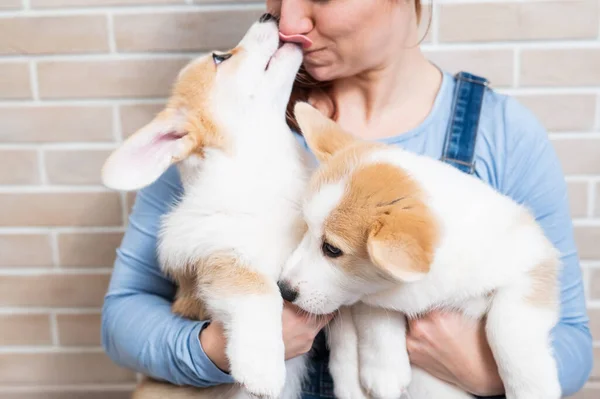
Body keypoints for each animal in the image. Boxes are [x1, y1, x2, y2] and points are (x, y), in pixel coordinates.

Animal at [100, 15, 310, 399]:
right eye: (219, 58)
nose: (269, 16)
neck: (260, 168)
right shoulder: (223, 257)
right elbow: (261, 294)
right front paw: (262, 369)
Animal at [278, 102, 564, 399]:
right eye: (305, 228)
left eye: (332, 249)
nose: (283, 290)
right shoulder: (367, 296)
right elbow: (376, 315)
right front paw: (384, 371)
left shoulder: (532, 261)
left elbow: (506, 328)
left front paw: (531, 388)